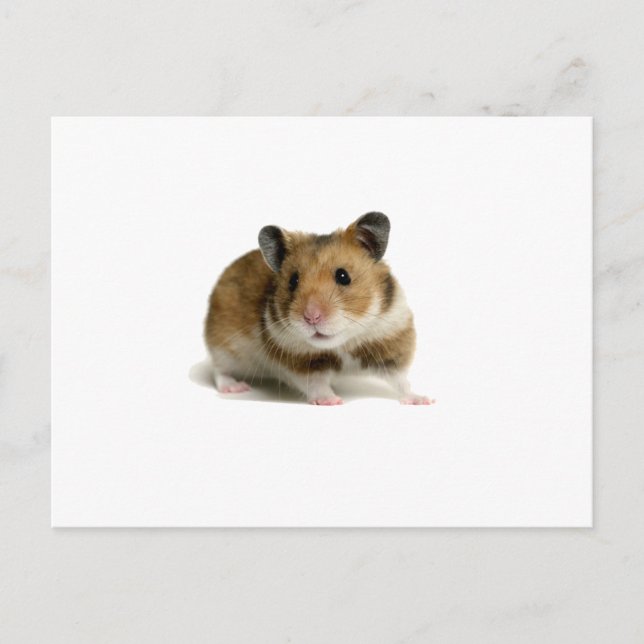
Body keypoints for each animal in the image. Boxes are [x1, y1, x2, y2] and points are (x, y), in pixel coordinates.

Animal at [204, 212, 434, 405]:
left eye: (343, 276)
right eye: (293, 281)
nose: (312, 317)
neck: (342, 344)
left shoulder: (389, 344)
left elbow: (401, 381)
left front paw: (424, 400)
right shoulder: (300, 362)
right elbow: (316, 384)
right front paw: (333, 401)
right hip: (223, 345)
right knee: (219, 370)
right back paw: (235, 387)